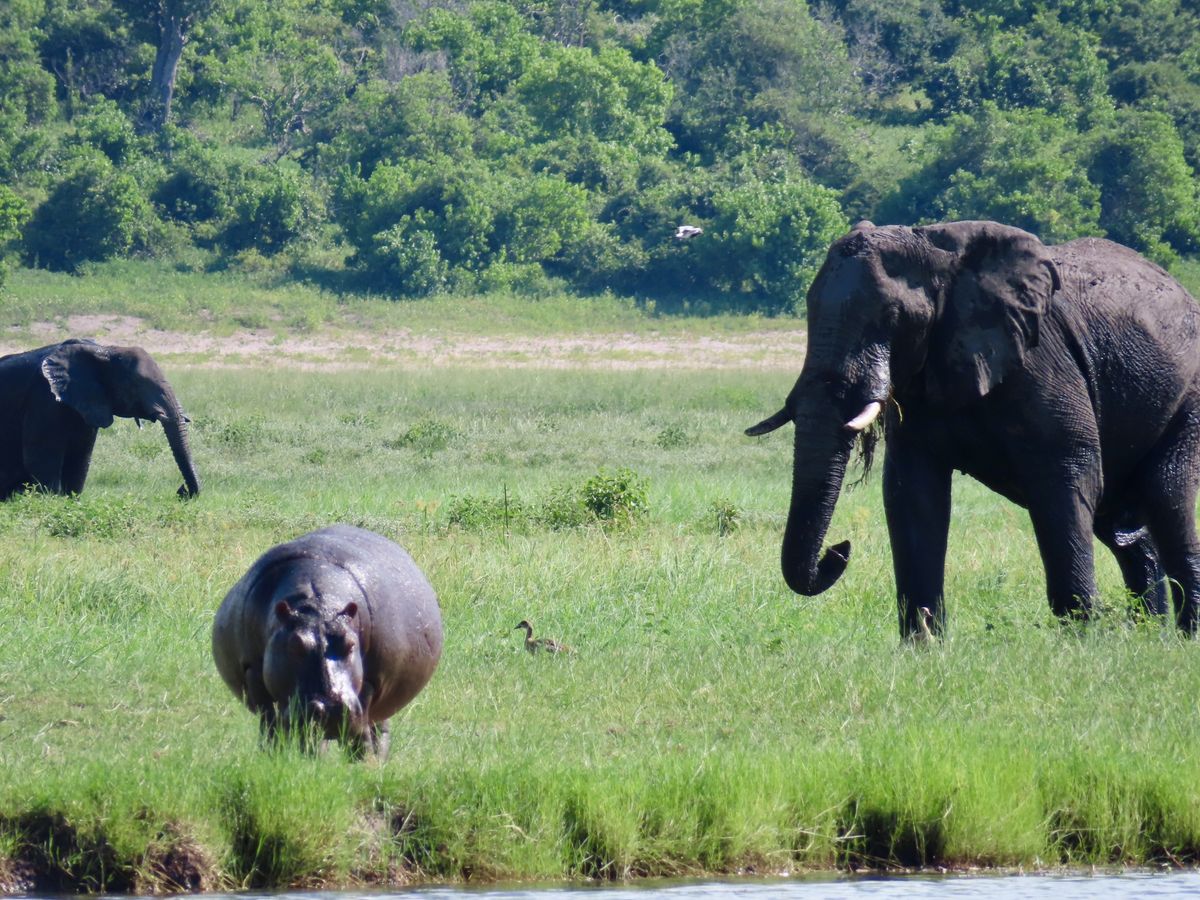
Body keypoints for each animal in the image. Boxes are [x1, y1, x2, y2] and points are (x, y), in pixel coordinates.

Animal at [212, 525, 443, 759]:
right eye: (294, 645)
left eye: (350, 644)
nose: (332, 707)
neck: (317, 605)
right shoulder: (254, 673)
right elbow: (270, 722)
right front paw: (273, 755)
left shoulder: (370, 681)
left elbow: (362, 726)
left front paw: (363, 762)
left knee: (377, 728)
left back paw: (375, 759)